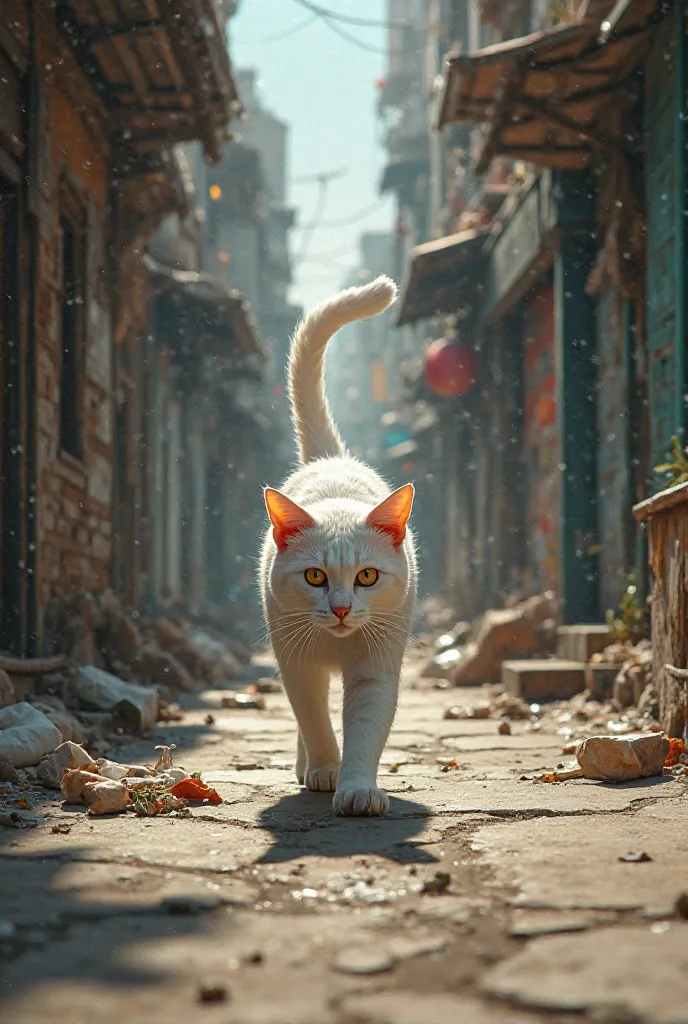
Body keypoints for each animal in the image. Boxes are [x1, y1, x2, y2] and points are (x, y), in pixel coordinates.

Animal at [261, 274, 415, 815]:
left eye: (367, 575)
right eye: (315, 576)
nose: (343, 608)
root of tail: (329, 458)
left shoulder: (377, 666)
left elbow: (366, 728)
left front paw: (358, 788)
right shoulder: (295, 661)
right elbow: (312, 716)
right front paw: (325, 769)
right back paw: (306, 764)